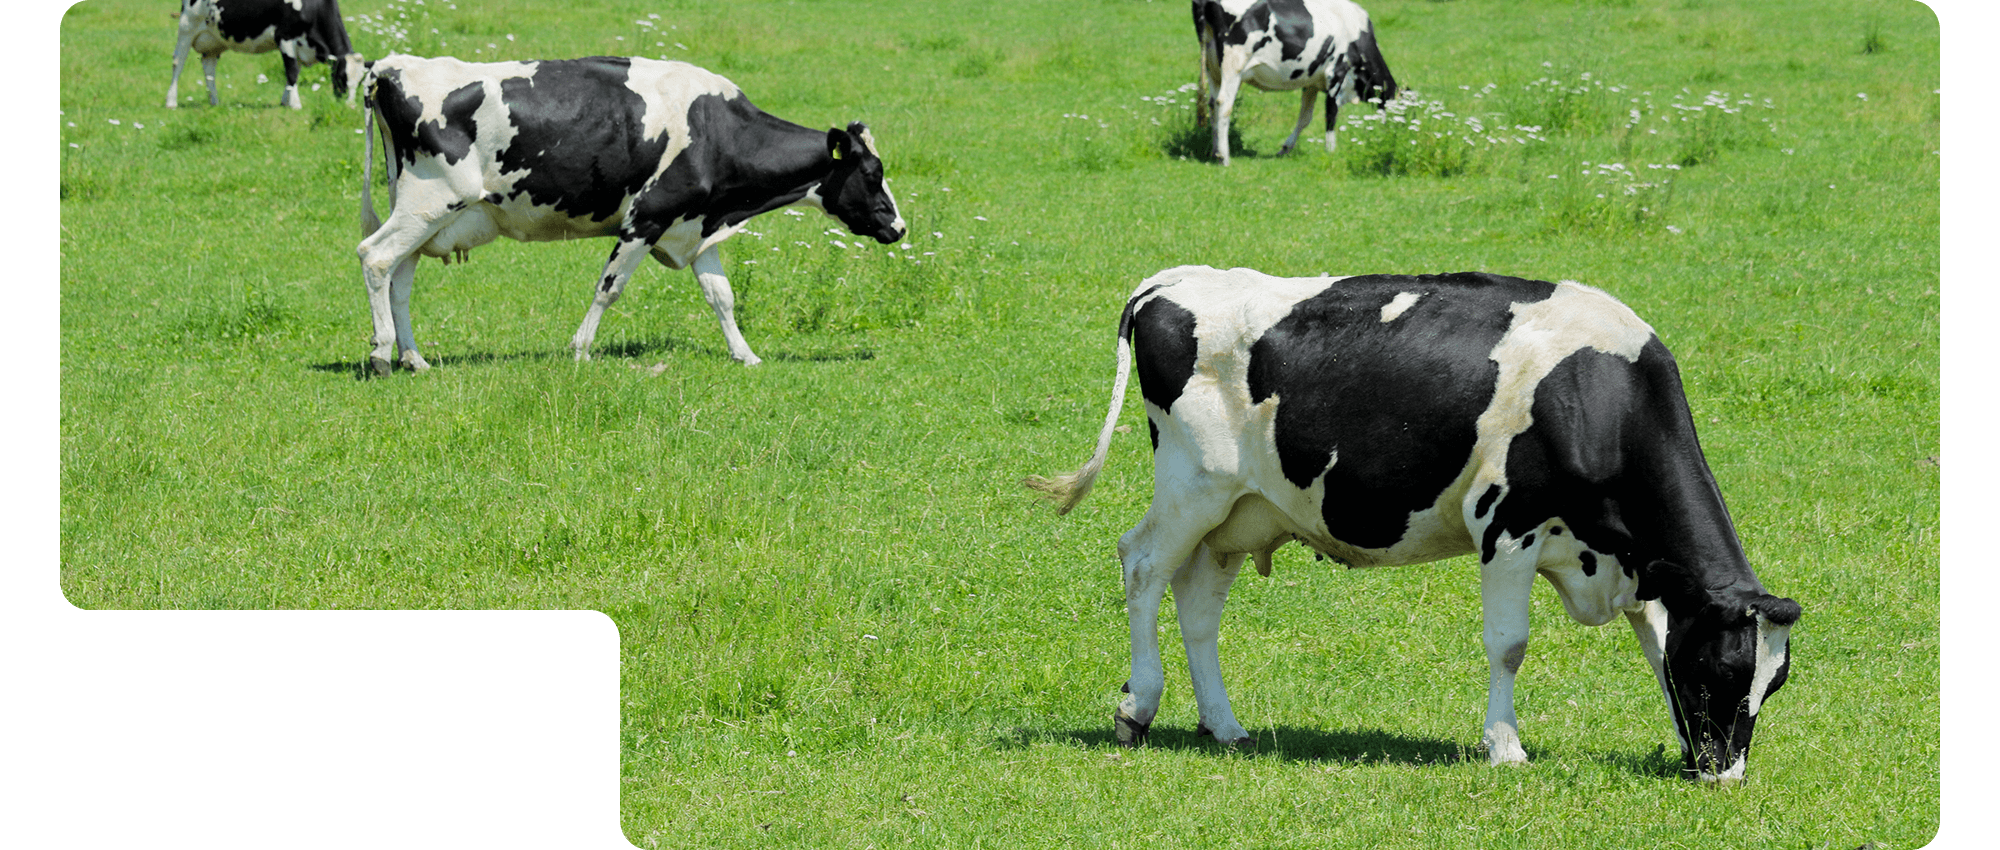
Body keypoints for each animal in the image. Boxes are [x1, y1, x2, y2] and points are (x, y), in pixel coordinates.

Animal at [166, 0, 366, 109]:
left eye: (360, 82)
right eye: (341, 78)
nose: (350, 106)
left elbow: (294, 73)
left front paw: (285, 101)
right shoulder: (285, 38)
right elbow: (291, 72)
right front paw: (295, 104)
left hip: (213, 40)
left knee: (209, 70)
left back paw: (214, 101)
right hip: (187, 27)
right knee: (178, 62)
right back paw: (171, 101)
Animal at [358, 53, 908, 372]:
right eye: (873, 173)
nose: (899, 227)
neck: (717, 132)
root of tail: (391, 64)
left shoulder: (695, 227)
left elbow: (722, 296)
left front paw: (745, 354)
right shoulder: (646, 218)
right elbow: (609, 288)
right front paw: (581, 350)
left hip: (424, 213)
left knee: (400, 277)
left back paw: (414, 358)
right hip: (431, 201)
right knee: (375, 257)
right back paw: (383, 351)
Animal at [1040, 264, 1808, 780]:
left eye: (1773, 683)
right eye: (1722, 668)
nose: (1723, 774)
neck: (1596, 396)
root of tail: (1173, 279)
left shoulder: (1637, 565)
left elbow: (1654, 648)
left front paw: (1678, 743)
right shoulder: (1507, 524)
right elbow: (1509, 645)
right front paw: (1505, 746)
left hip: (1241, 511)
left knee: (1197, 598)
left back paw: (1225, 725)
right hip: (1192, 484)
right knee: (1142, 563)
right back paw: (1138, 708)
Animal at [1192, 0, 1400, 166]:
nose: (1391, 134)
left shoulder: (1312, 83)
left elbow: (1305, 118)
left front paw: (1285, 148)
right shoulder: (1336, 73)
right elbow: (1331, 114)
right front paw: (1330, 151)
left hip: (1213, 68)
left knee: (1212, 104)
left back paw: (1214, 152)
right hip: (1233, 65)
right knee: (1224, 104)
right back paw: (1224, 157)